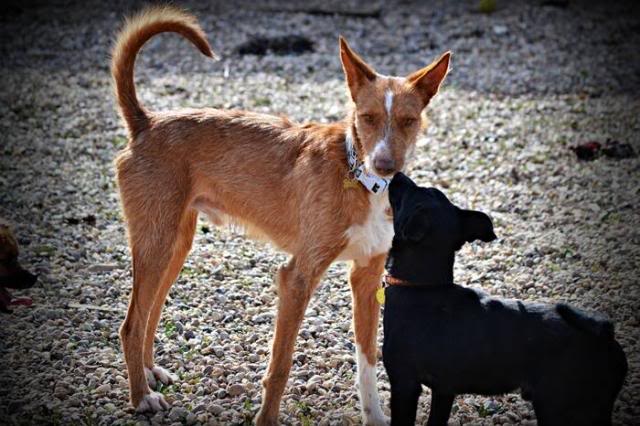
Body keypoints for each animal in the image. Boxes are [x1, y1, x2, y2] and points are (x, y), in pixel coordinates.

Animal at [111, 5, 450, 422]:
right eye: (367, 117)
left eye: (408, 120)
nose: (385, 164)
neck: (357, 176)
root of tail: (145, 123)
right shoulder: (296, 278)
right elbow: (281, 365)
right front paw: (266, 419)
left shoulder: (367, 278)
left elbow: (368, 362)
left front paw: (373, 417)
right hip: (156, 244)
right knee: (131, 324)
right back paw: (141, 397)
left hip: (174, 245)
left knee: (150, 314)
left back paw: (148, 373)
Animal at [382, 174, 628, 426]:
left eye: (413, 191)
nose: (399, 175)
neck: (424, 287)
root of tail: (604, 334)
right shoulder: (444, 390)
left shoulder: (404, 383)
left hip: (558, 408)